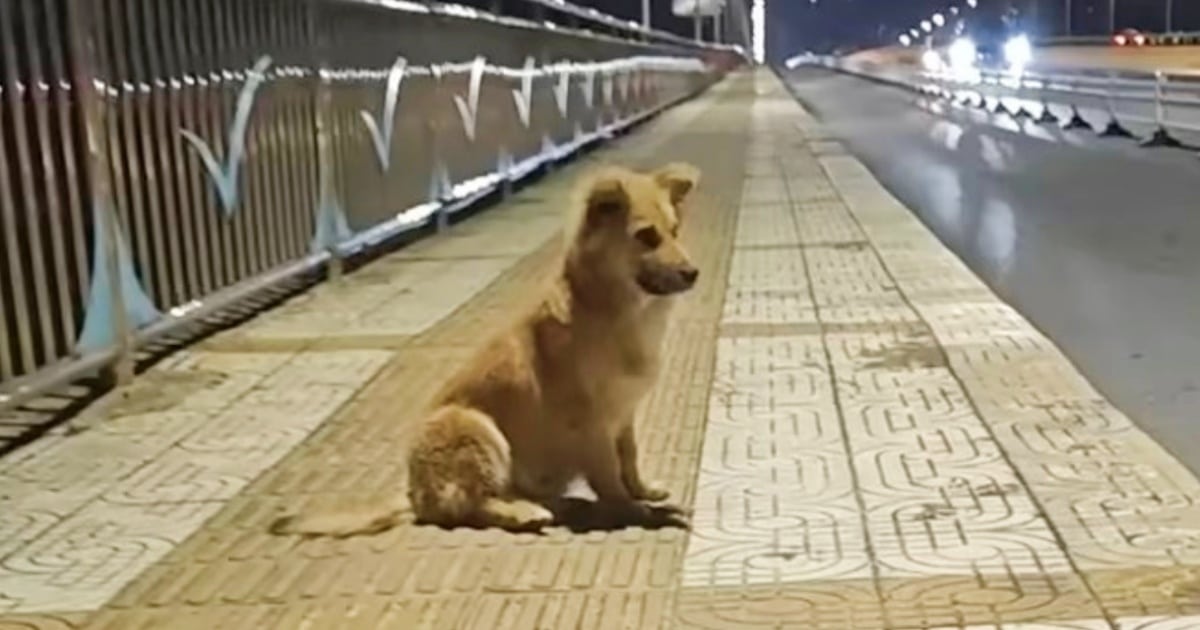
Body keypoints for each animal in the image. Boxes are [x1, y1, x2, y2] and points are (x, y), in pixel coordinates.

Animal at [270, 163, 700, 535]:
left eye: (675, 231)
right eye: (646, 236)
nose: (692, 273)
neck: (615, 311)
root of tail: (414, 495)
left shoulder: (623, 414)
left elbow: (629, 457)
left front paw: (643, 490)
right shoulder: (590, 421)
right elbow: (609, 474)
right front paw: (633, 508)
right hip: (473, 426)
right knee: (472, 506)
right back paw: (527, 513)